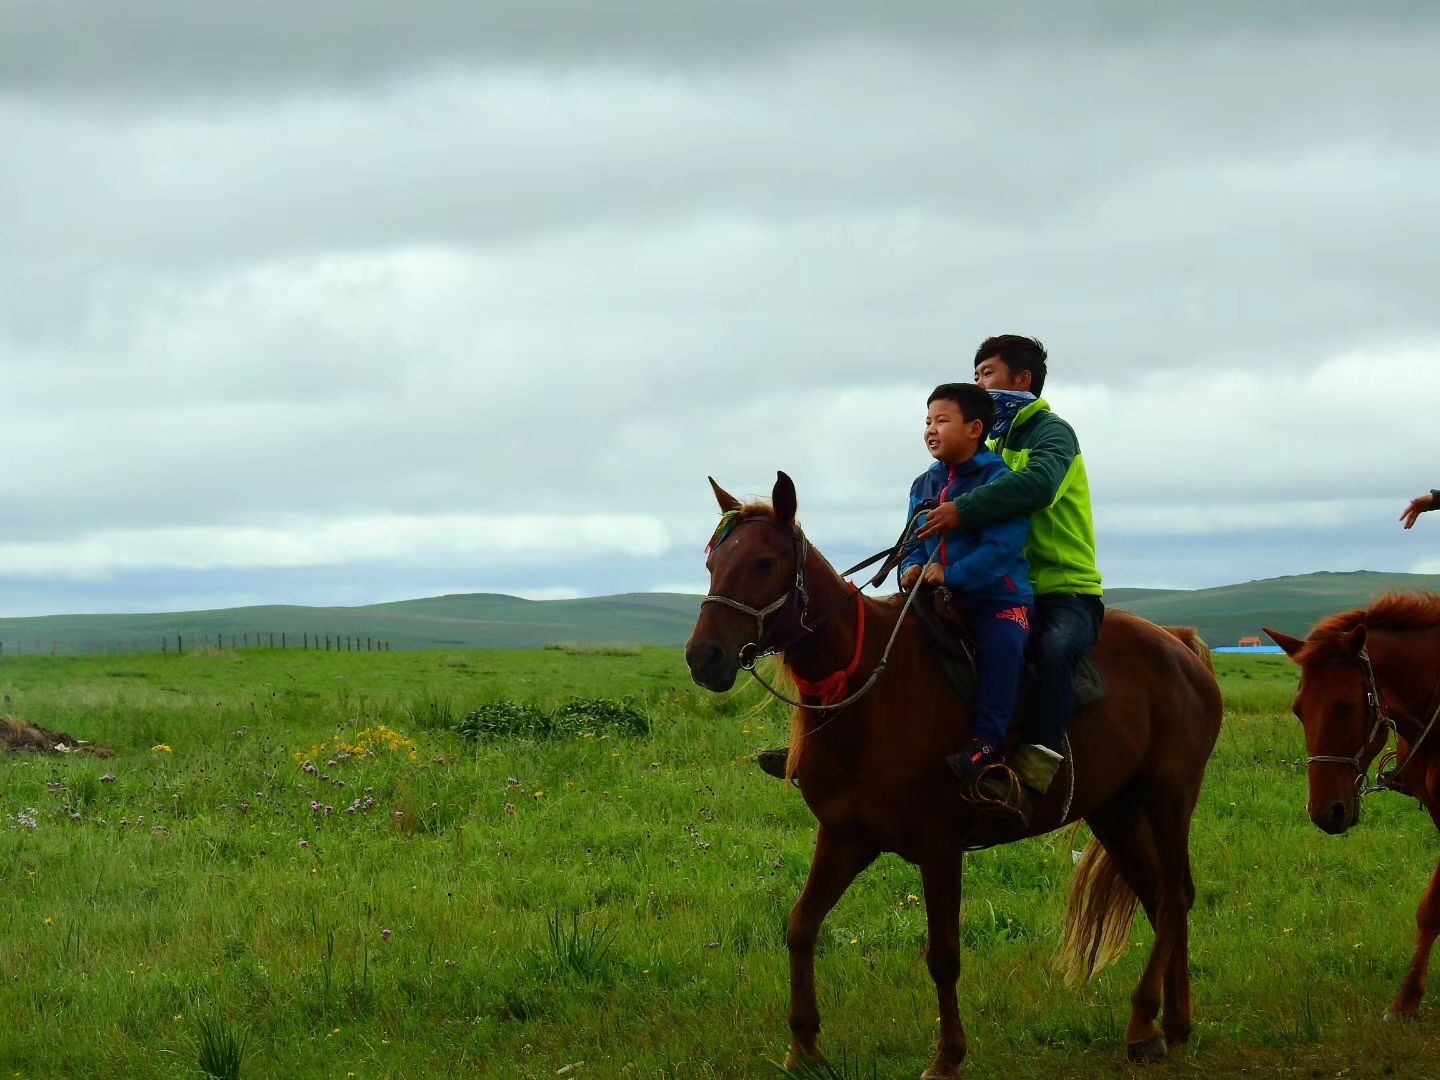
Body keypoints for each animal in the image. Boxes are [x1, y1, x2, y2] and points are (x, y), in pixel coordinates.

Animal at [682, 478, 1215, 1077]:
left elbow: (942, 955)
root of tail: (1179, 643)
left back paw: (1144, 1022)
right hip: (1115, 810)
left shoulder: (939, 847)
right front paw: (804, 1047)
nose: (704, 657)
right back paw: (1173, 1023)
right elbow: (800, 926)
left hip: (1169, 797)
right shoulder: (845, 837)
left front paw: (948, 1056)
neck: (868, 695)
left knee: (1174, 897)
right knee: (1158, 898)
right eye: (713, 563)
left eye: (765, 563)